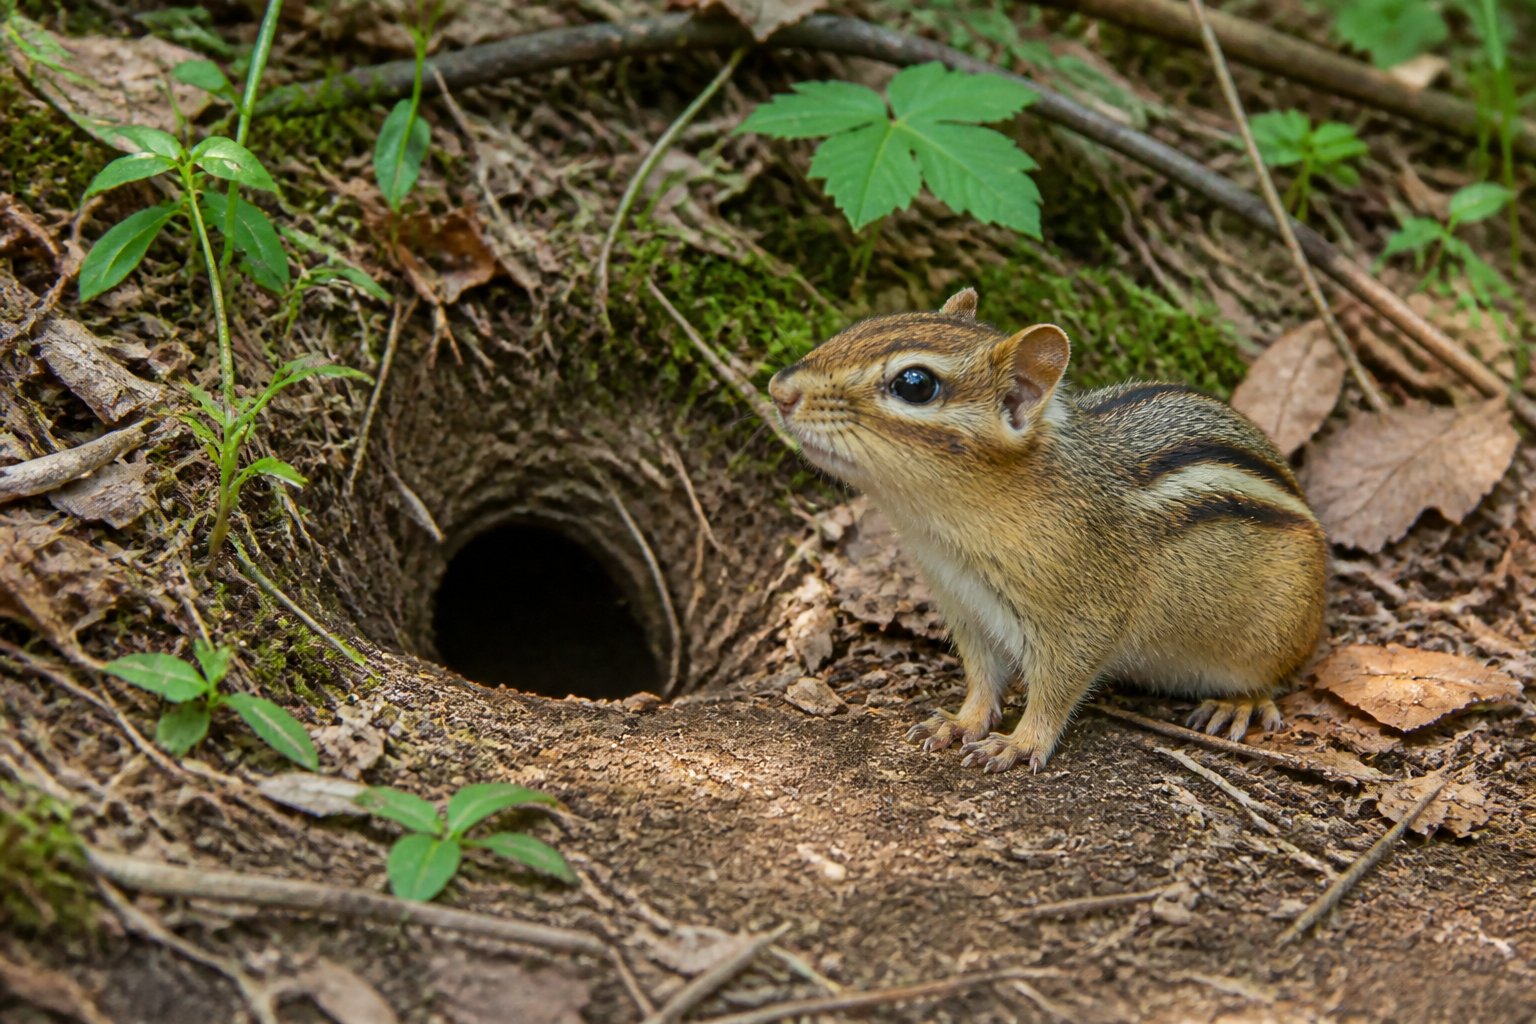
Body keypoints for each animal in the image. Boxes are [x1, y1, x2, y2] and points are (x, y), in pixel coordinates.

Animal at [767, 288, 1328, 773]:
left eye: (915, 384)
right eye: (864, 324)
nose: (778, 390)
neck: (946, 533)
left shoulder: (1082, 620)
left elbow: (1055, 691)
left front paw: (1018, 743)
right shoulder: (965, 609)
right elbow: (981, 677)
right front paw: (960, 722)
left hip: (1275, 636)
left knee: (1274, 677)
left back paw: (1239, 703)